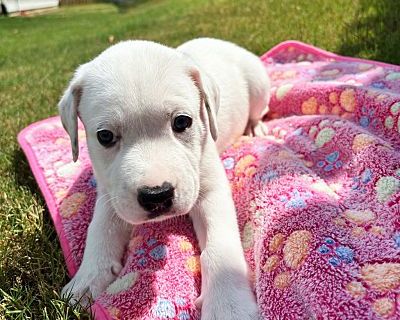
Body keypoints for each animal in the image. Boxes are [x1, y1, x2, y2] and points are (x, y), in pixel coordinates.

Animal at [59, 38, 270, 320]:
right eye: (105, 136)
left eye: (182, 121)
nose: (156, 195)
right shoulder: (110, 191)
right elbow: (99, 228)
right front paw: (88, 277)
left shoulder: (211, 189)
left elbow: (219, 246)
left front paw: (228, 305)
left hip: (258, 86)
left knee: (260, 110)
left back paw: (256, 127)